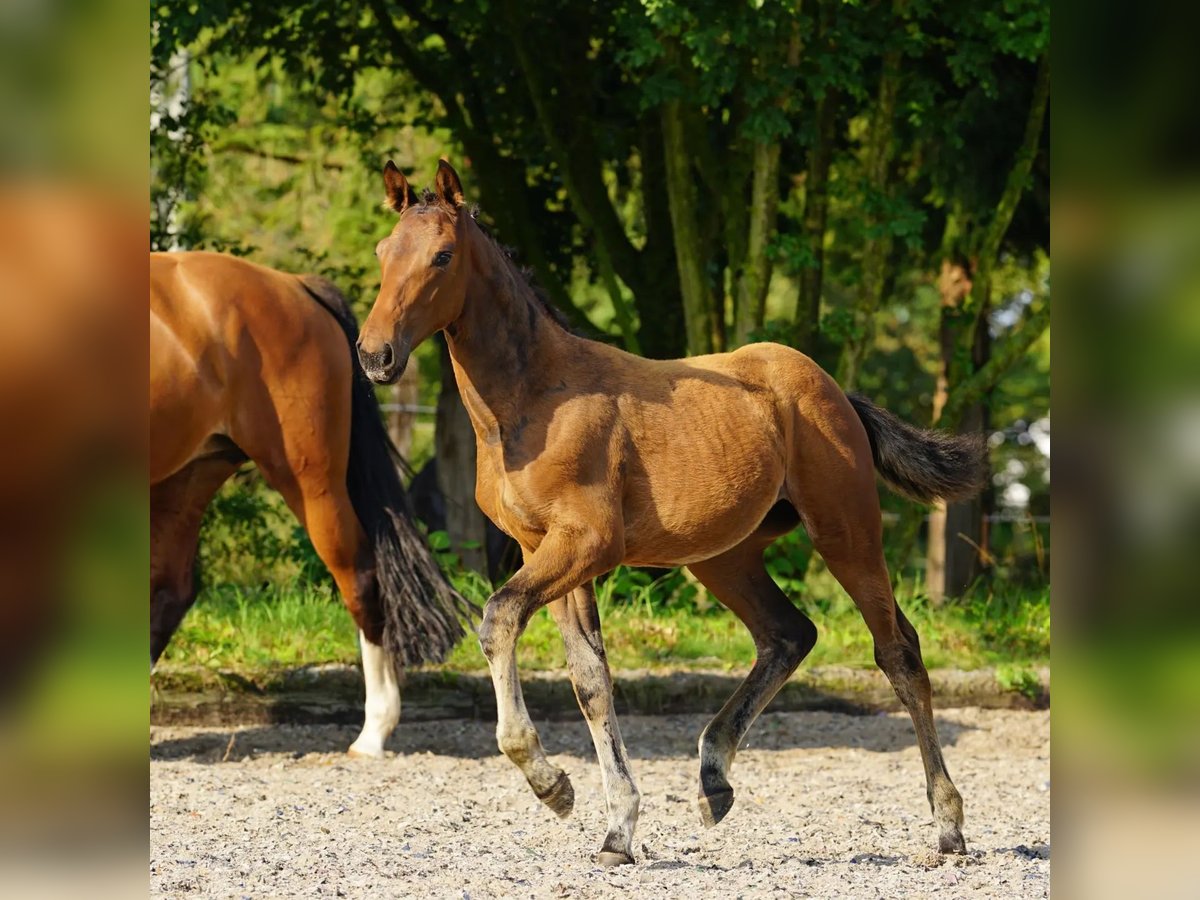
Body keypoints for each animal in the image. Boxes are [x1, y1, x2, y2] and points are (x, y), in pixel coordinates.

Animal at [148, 252, 468, 753]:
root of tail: (295, 286)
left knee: (361, 577)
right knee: (169, 592)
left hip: (309, 481)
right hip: (189, 473)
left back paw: (374, 732)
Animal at [360, 160, 988, 868]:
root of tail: (834, 390)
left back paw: (948, 826)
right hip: (722, 557)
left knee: (898, 652)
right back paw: (714, 779)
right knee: (789, 634)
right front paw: (617, 830)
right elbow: (590, 678)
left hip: (845, 531)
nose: (375, 355)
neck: (532, 399)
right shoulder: (541, 548)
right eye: (383, 252)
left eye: (441, 256)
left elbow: (499, 620)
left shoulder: (588, 542)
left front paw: (552, 785)